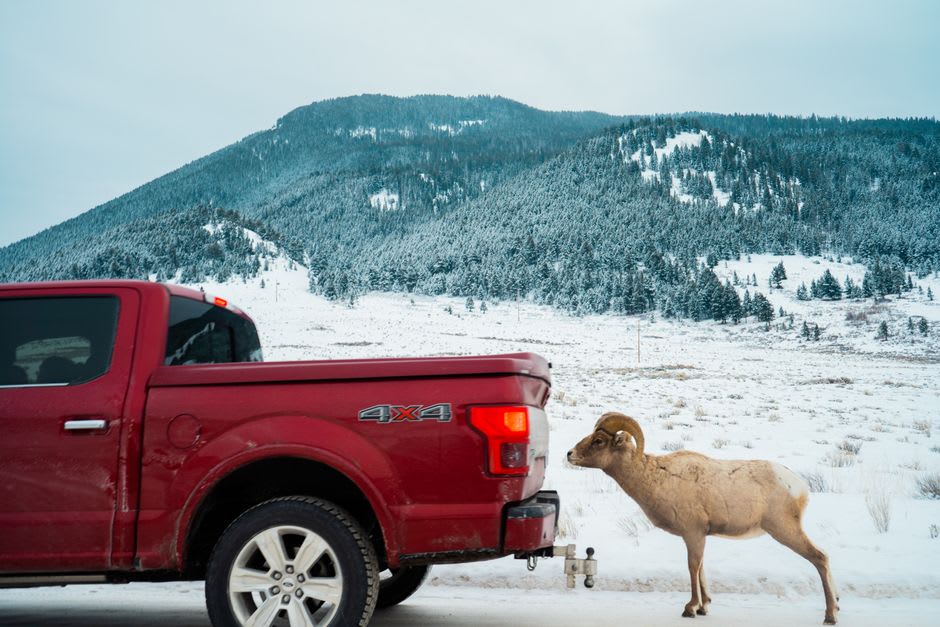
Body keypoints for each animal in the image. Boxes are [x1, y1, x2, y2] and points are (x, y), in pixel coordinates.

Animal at [567, 412, 839, 625]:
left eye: (599, 440)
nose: (569, 454)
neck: (656, 479)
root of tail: (798, 486)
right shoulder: (699, 536)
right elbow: (701, 569)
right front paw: (703, 607)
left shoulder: (693, 534)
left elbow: (693, 567)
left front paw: (690, 608)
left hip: (785, 530)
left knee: (820, 558)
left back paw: (830, 616)